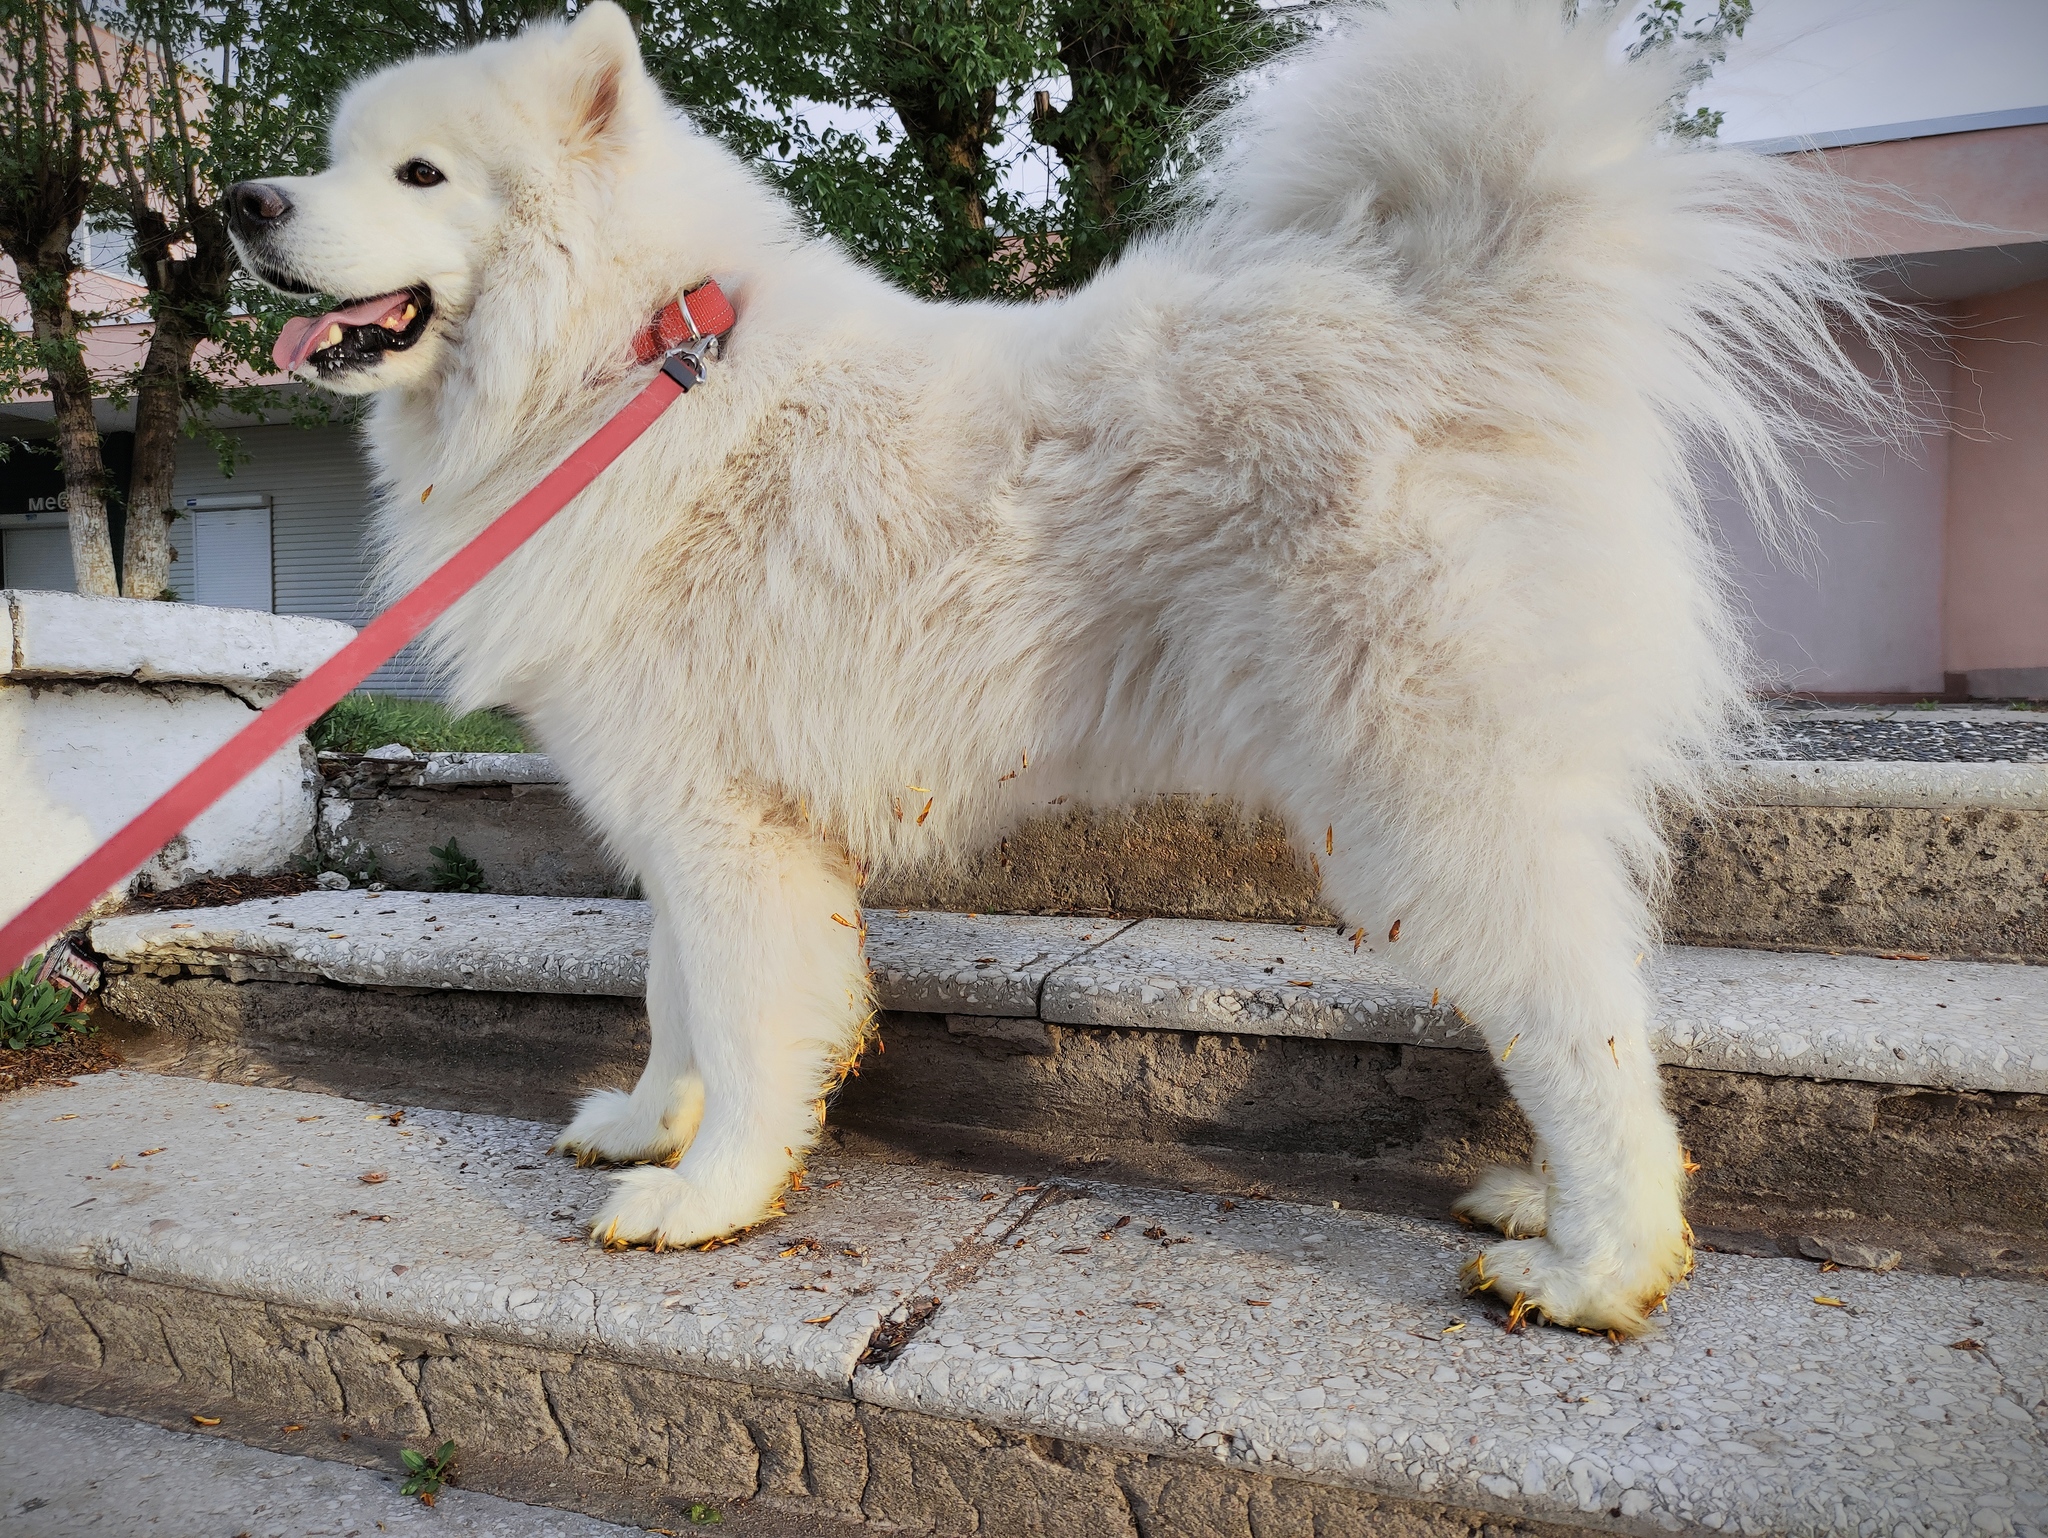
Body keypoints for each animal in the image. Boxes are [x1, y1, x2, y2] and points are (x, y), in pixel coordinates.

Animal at [232, 0, 1892, 1335]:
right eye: (335, 156)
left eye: (421, 175)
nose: (241, 203)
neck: (624, 367)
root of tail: (1450, 312)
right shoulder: (676, 809)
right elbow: (674, 998)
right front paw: (651, 1124)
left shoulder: (723, 819)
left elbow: (750, 1023)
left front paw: (706, 1195)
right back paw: (1548, 1212)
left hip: (1428, 797)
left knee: (1581, 1023)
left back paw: (1595, 1265)